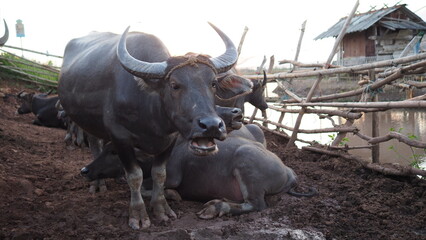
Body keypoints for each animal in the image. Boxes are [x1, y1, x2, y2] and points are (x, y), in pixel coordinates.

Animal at [56, 23, 250, 229]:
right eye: (174, 84)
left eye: (213, 83)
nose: (211, 125)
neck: (151, 111)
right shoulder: (120, 138)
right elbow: (135, 176)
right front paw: (138, 215)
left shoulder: (169, 140)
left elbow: (159, 174)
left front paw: (161, 209)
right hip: (89, 123)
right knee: (95, 146)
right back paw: (97, 184)